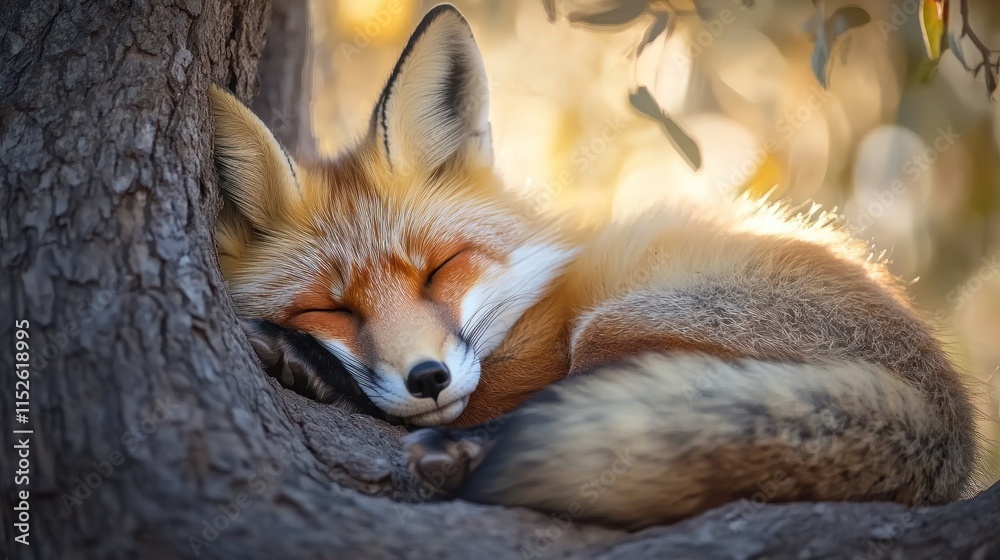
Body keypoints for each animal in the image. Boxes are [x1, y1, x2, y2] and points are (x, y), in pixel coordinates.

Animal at [210, 4, 980, 529]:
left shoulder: (529, 367)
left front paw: (319, 370)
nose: (427, 379)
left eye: (439, 270)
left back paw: (467, 454)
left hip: (617, 324)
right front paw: (310, 359)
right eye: (329, 307)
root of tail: (952, 425)